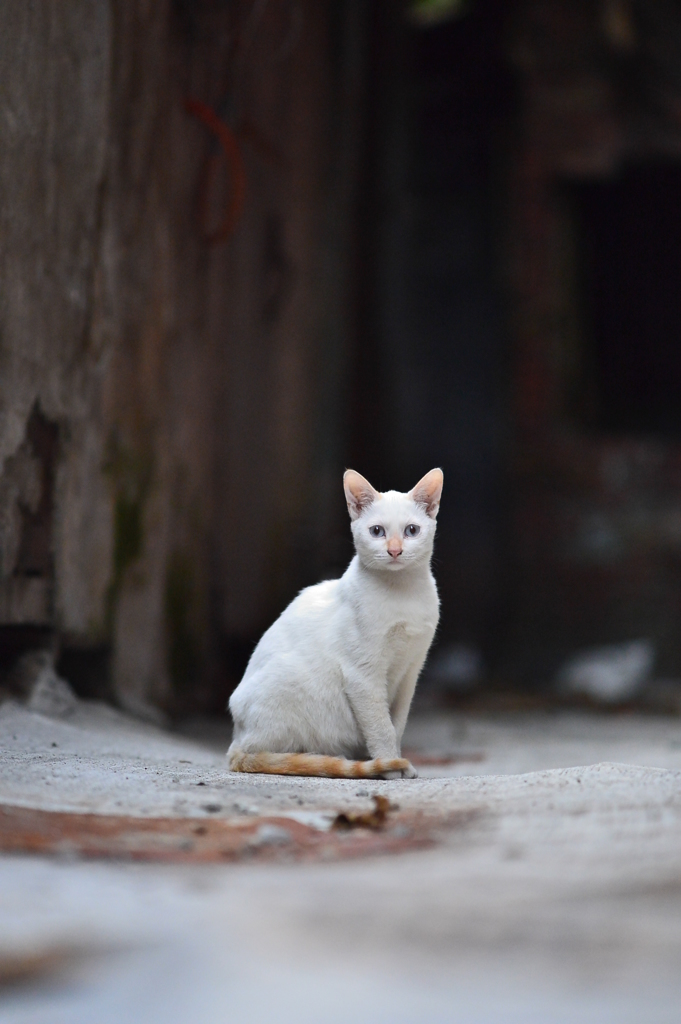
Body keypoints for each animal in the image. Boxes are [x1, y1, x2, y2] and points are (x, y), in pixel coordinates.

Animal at [225, 468, 444, 778]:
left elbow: (397, 725)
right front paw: (390, 767)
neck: (402, 592)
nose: (395, 550)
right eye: (377, 531)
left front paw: (398, 763)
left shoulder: (410, 672)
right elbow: (381, 728)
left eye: (411, 531)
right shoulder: (363, 676)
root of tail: (236, 739)